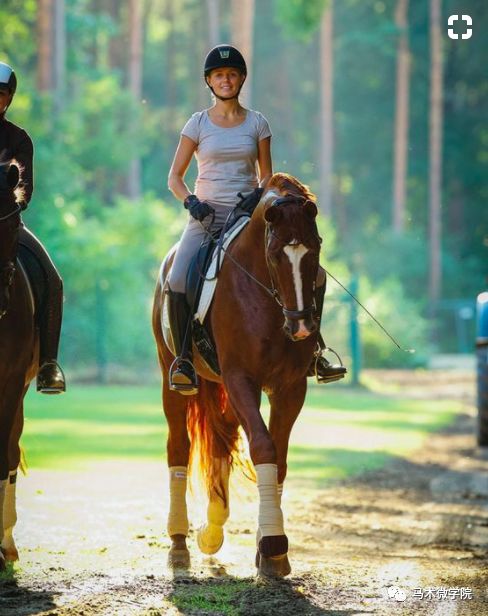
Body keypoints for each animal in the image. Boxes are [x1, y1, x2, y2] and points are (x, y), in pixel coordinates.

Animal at [152, 172, 320, 576]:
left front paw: (268, 551)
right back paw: (179, 542)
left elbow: (279, 457)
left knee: (222, 438)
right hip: (171, 374)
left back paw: (211, 529)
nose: (302, 327)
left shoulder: (290, 387)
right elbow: (263, 446)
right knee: (179, 446)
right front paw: (273, 544)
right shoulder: (241, 379)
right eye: (275, 254)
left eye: (317, 250)